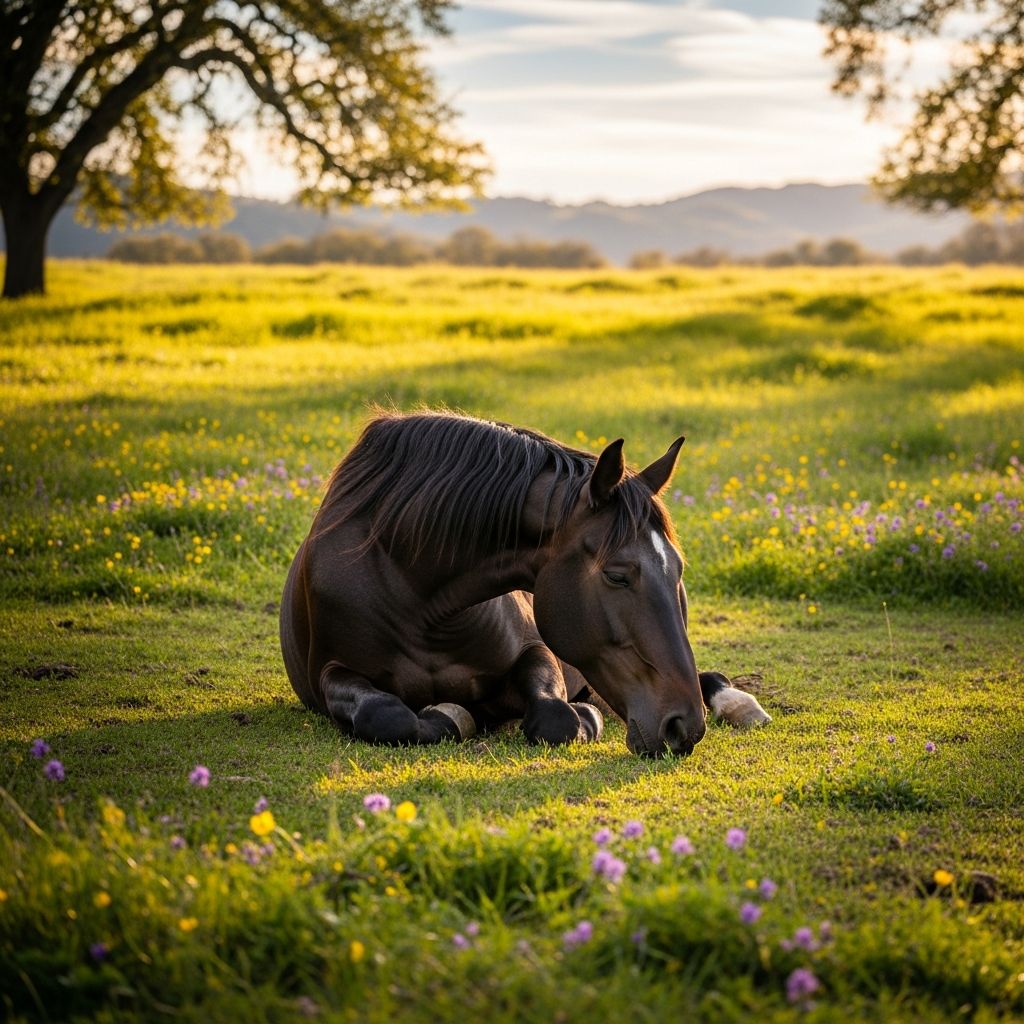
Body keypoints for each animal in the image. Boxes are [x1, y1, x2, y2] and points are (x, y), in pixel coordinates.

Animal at [280, 410, 769, 757]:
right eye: (616, 575)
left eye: (678, 570)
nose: (684, 727)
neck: (419, 600)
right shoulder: (330, 673)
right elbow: (385, 715)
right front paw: (448, 716)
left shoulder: (538, 650)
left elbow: (556, 717)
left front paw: (585, 716)